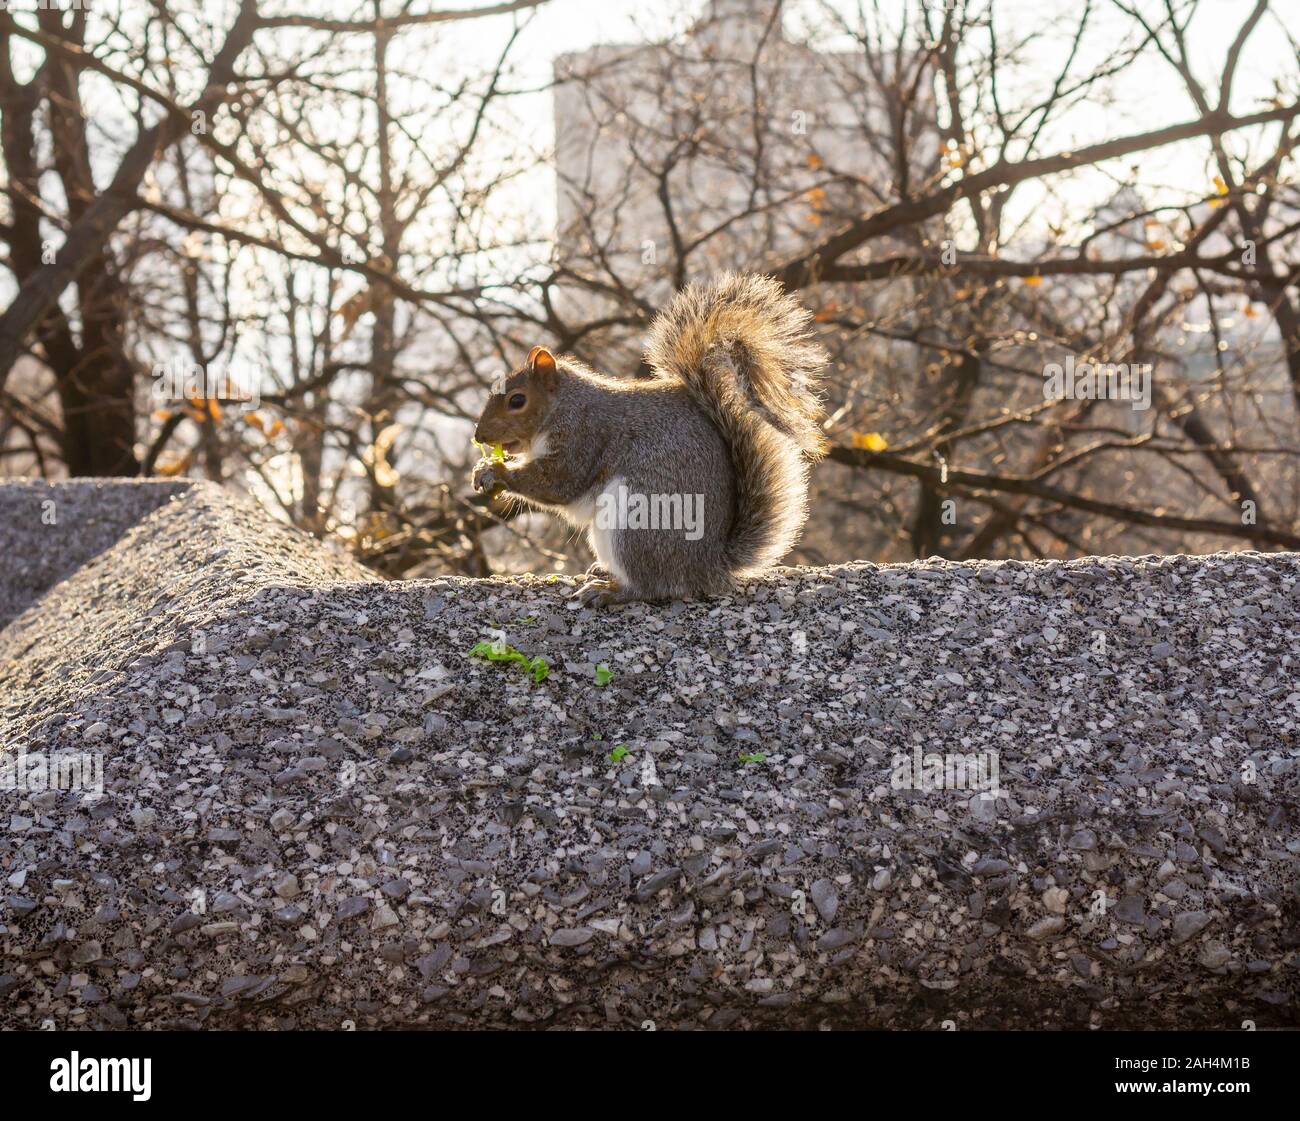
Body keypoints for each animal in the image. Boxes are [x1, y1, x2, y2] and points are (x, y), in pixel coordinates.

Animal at [473, 271, 826, 606]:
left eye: (517, 400)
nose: (480, 435)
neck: (562, 404)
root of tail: (710, 565)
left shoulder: (582, 435)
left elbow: (557, 482)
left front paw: (497, 472)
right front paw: (481, 469)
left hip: (637, 520)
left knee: (654, 586)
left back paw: (610, 592)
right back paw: (605, 573)